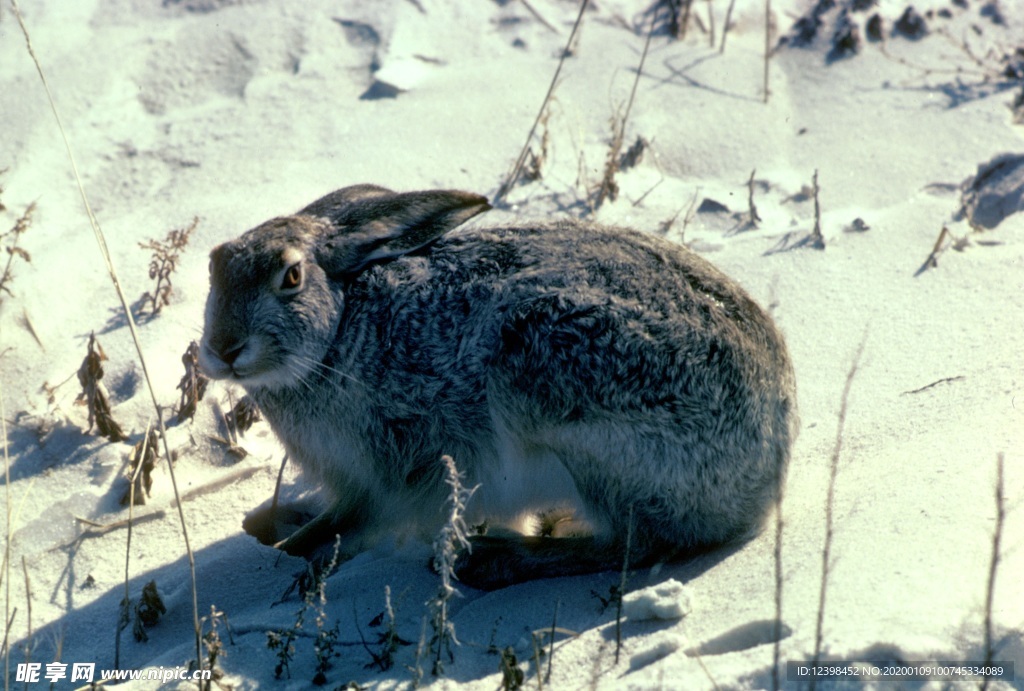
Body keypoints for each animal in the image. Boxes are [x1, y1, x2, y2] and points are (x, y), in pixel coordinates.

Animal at [195, 182, 794, 589]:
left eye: (291, 277)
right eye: (214, 266)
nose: (223, 349)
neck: (337, 332)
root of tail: (769, 463)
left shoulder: (381, 478)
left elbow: (337, 530)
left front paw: (290, 550)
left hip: (556, 386)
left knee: (636, 544)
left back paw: (490, 559)